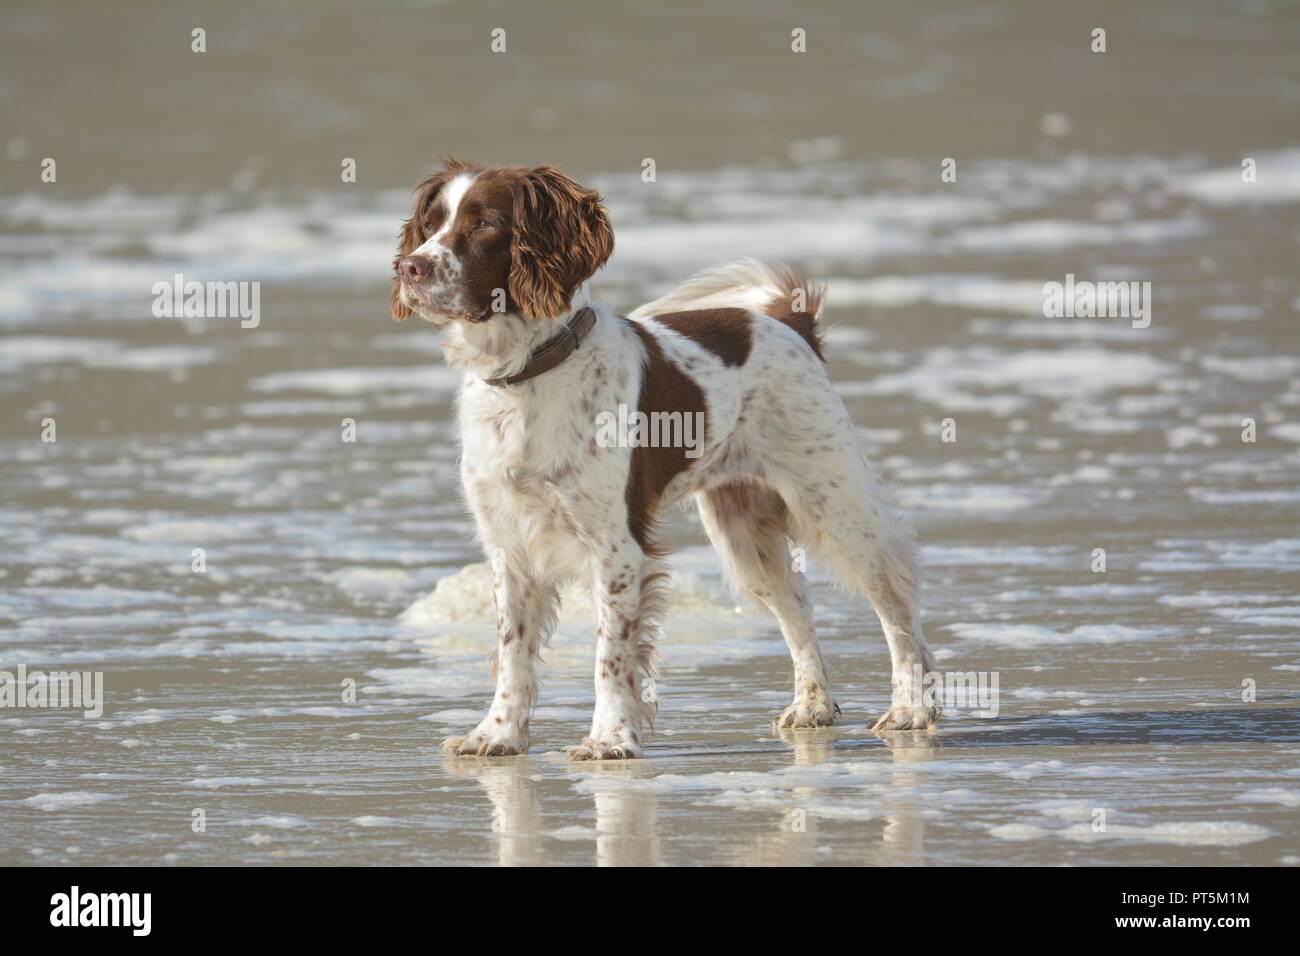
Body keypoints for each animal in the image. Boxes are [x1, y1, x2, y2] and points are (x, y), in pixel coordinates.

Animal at [390, 160, 941, 759]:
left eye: (485, 223)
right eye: (430, 223)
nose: (409, 267)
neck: (526, 373)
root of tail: (789, 323)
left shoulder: (618, 548)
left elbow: (610, 656)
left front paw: (609, 738)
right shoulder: (509, 546)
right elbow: (513, 652)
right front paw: (498, 733)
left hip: (835, 504)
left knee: (896, 602)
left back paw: (911, 708)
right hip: (743, 528)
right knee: (797, 608)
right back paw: (813, 706)